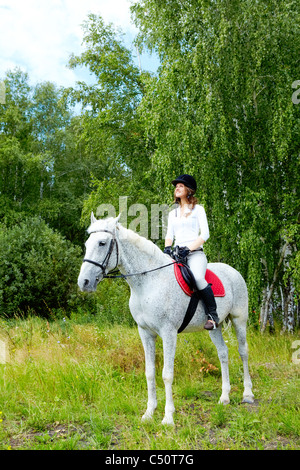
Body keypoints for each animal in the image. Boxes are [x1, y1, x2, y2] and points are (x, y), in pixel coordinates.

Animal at [78, 214, 255, 426]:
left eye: (102, 243)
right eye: (87, 243)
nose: (84, 282)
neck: (149, 282)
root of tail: (232, 271)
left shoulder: (168, 333)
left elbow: (167, 375)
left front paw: (168, 417)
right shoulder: (145, 332)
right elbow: (150, 372)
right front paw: (149, 413)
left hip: (239, 320)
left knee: (243, 352)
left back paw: (247, 394)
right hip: (214, 326)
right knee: (223, 353)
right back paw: (224, 397)